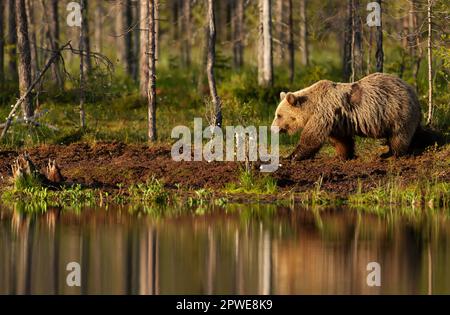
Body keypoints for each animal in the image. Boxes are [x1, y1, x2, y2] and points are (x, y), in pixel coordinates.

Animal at [272, 73, 424, 160]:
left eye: (279, 115)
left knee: (398, 136)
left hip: (396, 111)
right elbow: (341, 140)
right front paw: (343, 155)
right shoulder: (336, 120)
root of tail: (412, 91)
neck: (311, 107)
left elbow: (312, 138)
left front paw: (291, 156)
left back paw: (391, 154)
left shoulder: (323, 113)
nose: (272, 129)